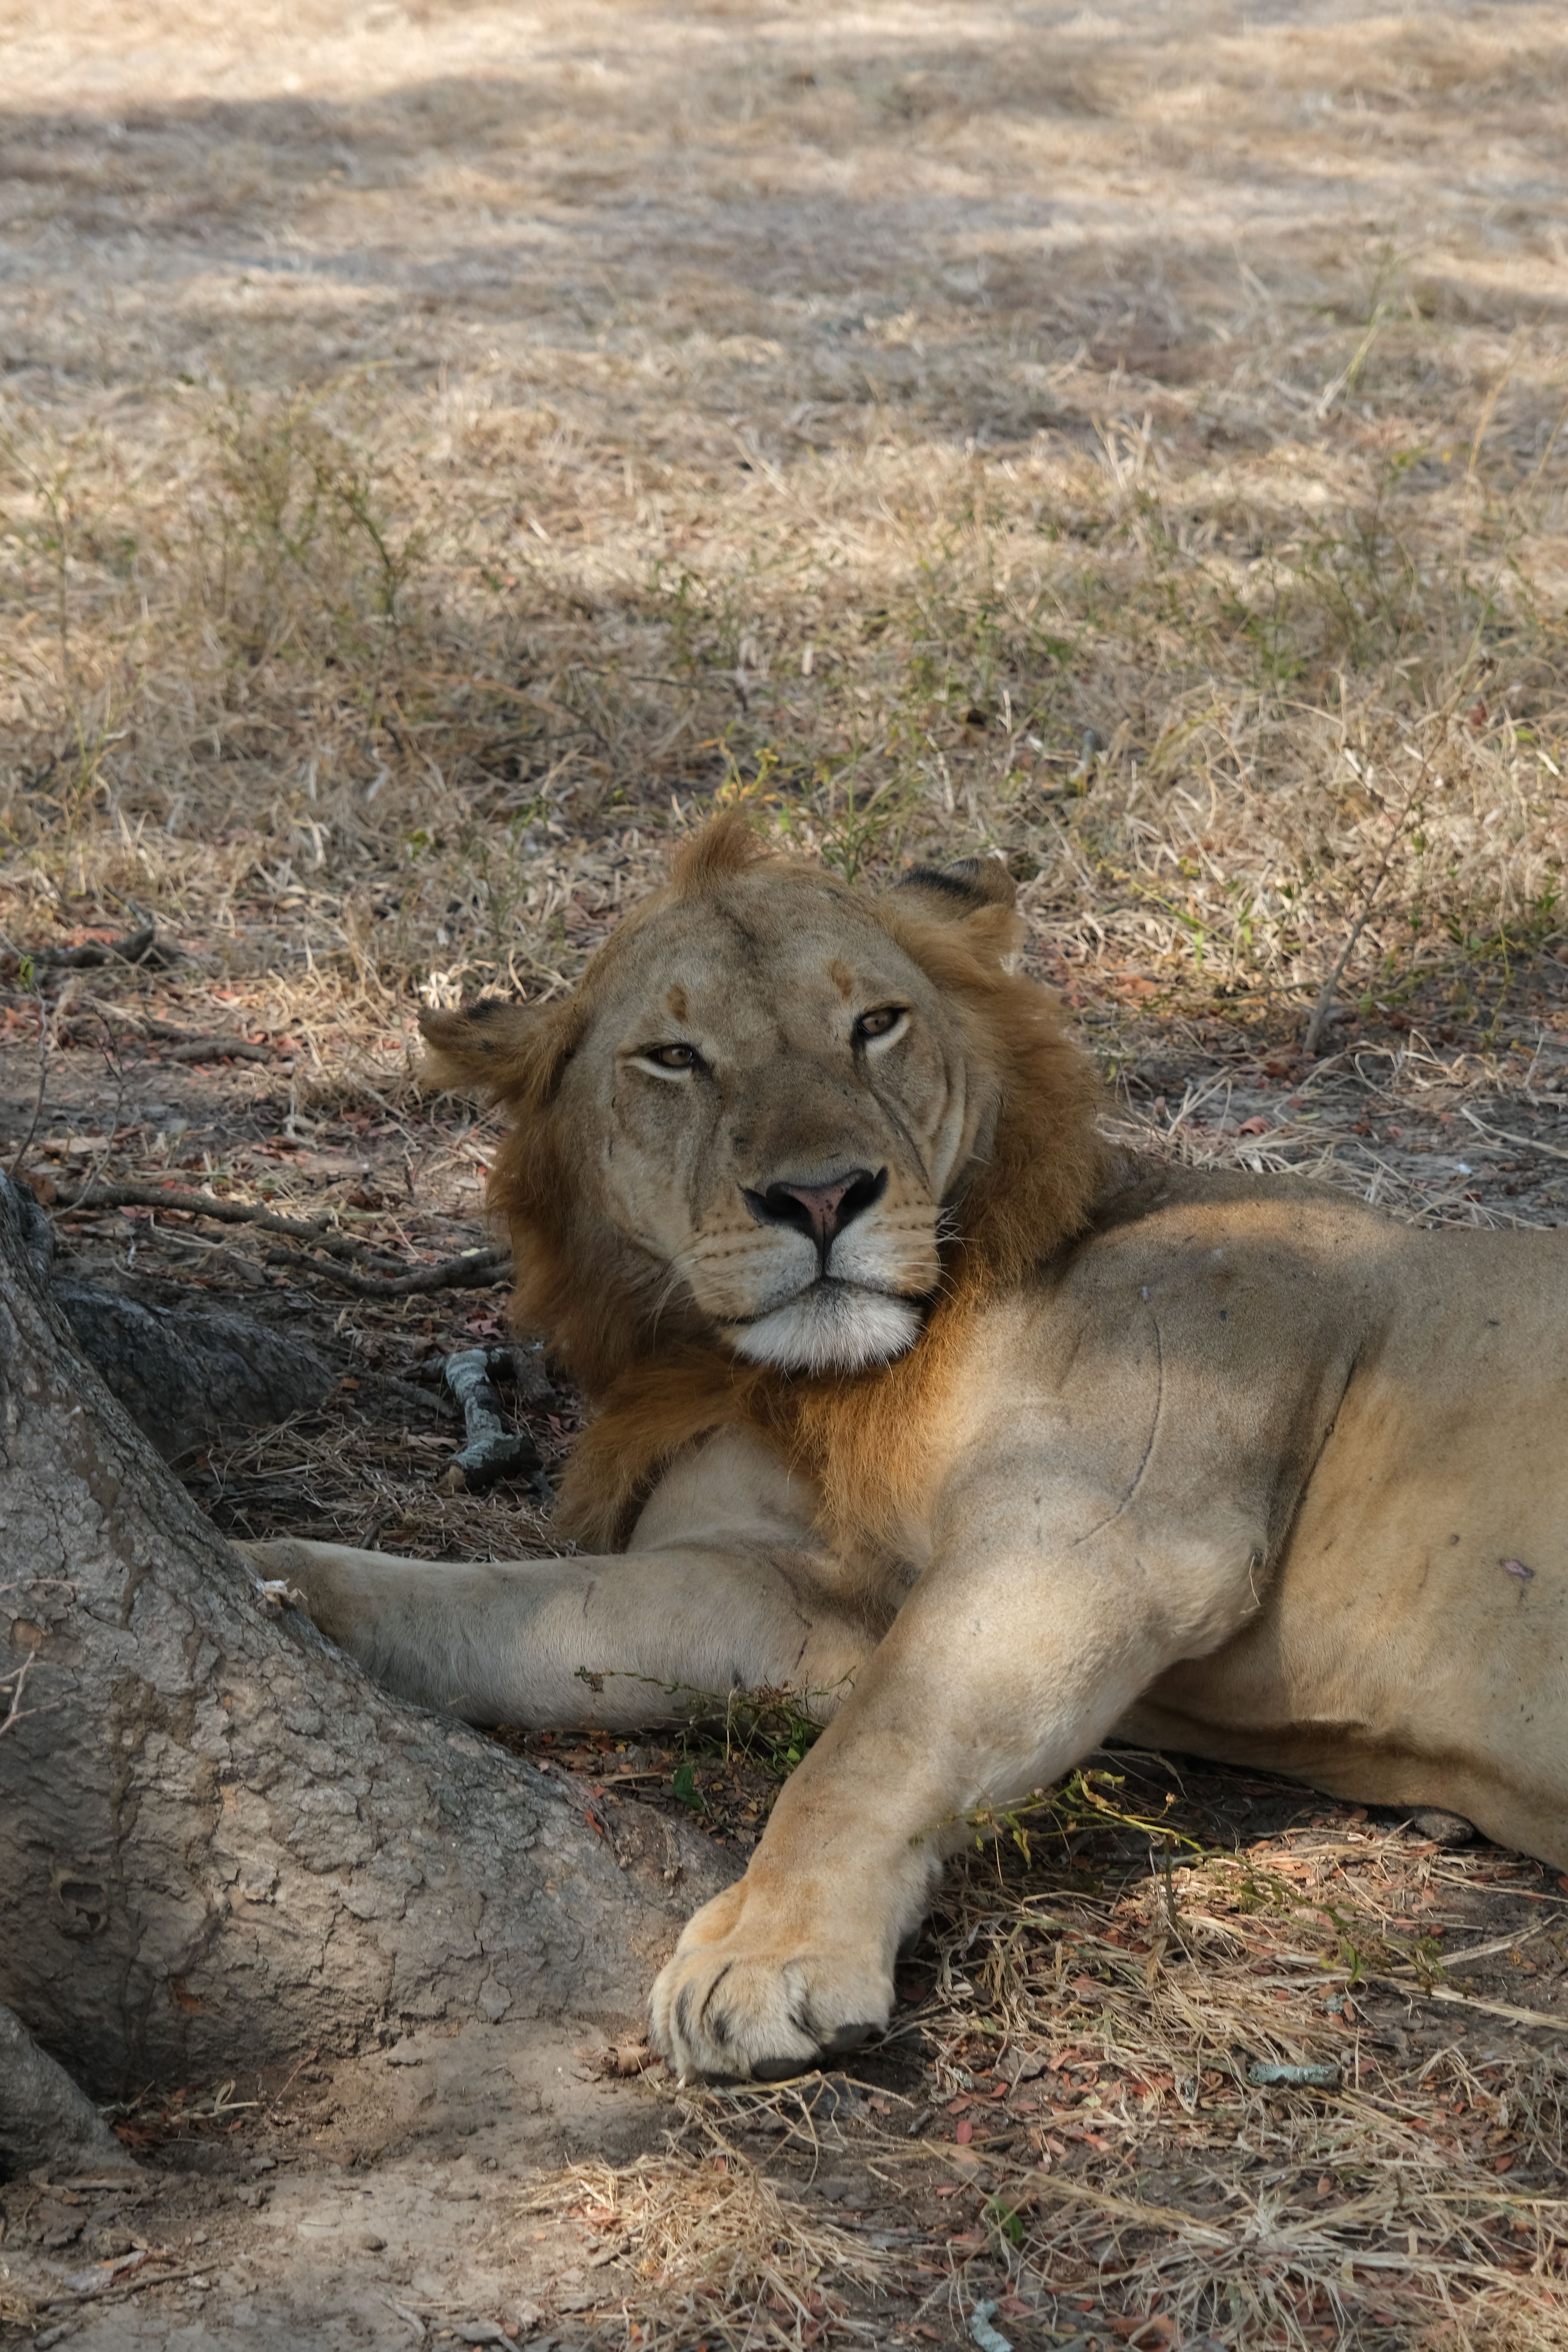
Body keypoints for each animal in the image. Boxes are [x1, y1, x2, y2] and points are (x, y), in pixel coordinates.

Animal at [251, 815, 1568, 2083]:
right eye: (675, 1057)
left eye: (874, 1025)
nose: (824, 1198)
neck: (830, 1382)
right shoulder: (783, 1593)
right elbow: (500, 1605)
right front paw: (278, 1582)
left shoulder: (1101, 1535)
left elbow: (867, 1752)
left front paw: (767, 1953)